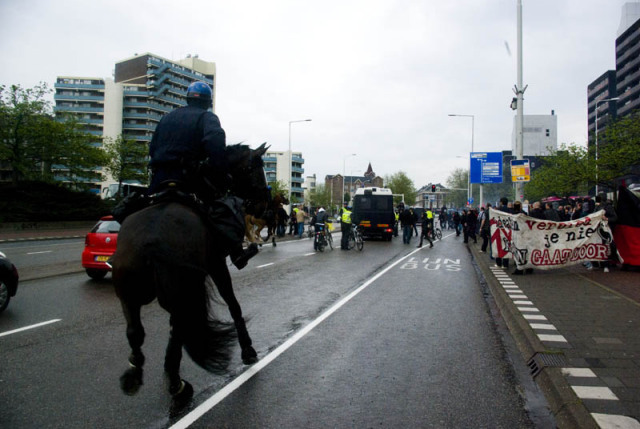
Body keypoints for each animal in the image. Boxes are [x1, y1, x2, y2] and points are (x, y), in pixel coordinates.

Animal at [111, 142, 268, 400]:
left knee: (137, 332)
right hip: (184, 291)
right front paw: (248, 349)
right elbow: (233, 304)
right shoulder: (217, 266)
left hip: (132, 295)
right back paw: (178, 386)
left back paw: (138, 375)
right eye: (254, 168)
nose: (263, 202)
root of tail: (151, 243)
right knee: (176, 332)